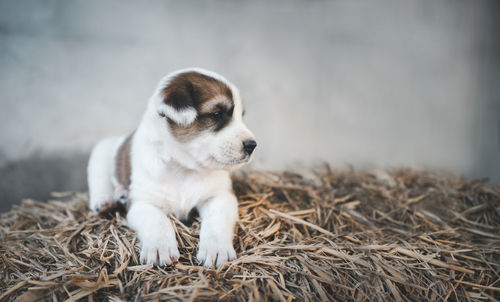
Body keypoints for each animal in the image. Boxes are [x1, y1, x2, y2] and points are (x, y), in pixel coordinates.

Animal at [86, 68, 256, 266]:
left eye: (241, 116)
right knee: (100, 184)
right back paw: (106, 201)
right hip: (100, 154)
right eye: (216, 114)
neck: (184, 168)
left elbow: (216, 219)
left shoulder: (220, 196)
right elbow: (157, 220)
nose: (252, 145)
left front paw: (216, 248)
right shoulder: (142, 203)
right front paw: (160, 247)